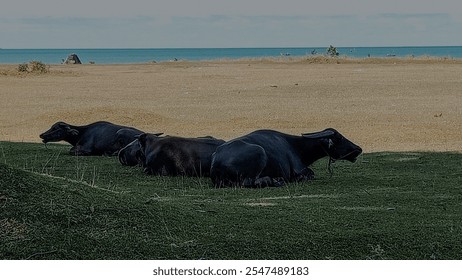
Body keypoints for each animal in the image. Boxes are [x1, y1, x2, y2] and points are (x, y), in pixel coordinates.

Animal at [211, 130, 362, 188]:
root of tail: (216, 161)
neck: (297, 146)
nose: (359, 148)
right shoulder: (299, 169)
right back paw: (275, 181)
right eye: (339, 137)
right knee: (248, 182)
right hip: (259, 153)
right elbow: (310, 174)